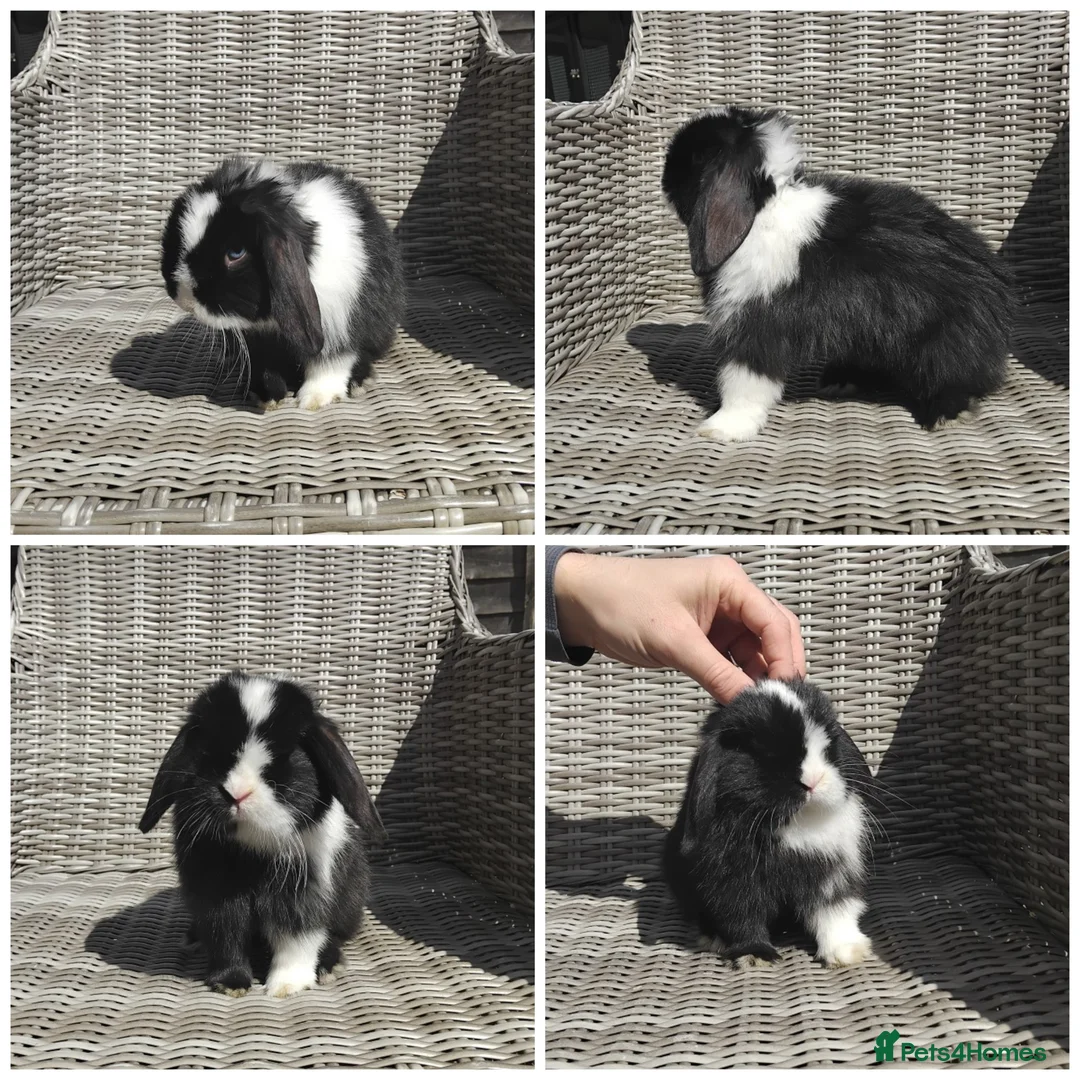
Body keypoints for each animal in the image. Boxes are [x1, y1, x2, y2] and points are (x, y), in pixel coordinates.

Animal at [138, 671, 386, 997]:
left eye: (286, 755)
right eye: (208, 749)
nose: (236, 794)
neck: (252, 849)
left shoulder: (302, 893)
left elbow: (296, 940)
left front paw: (286, 986)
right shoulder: (216, 895)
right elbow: (226, 937)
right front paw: (230, 984)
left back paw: (329, 966)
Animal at [161, 157, 405, 411]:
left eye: (236, 252)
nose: (184, 298)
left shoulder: (338, 324)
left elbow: (330, 363)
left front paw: (315, 399)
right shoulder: (257, 341)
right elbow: (263, 366)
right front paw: (266, 397)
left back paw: (359, 382)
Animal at [662, 106, 1014, 441]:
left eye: (697, 157)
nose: (664, 175)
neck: (763, 212)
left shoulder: (757, 325)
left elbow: (742, 381)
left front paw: (722, 428)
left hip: (941, 345)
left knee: (954, 380)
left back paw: (945, 415)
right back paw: (841, 381)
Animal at [664, 678, 874, 970]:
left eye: (829, 743)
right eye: (762, 752)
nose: (812, 781)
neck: (795, 823)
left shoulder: (833, 873)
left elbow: (835, 910)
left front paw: (846, 952)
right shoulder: (732, 881)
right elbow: (743, 918)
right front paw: (755, 955)